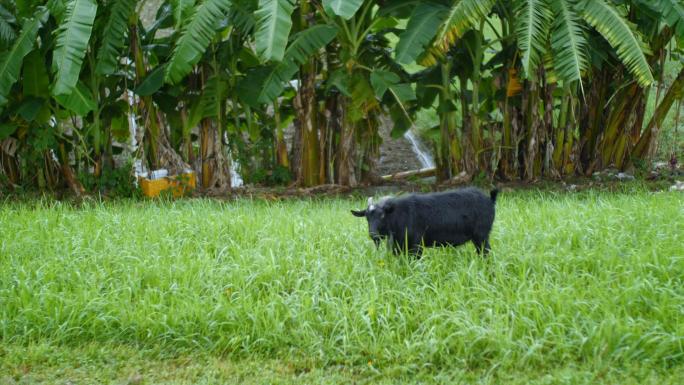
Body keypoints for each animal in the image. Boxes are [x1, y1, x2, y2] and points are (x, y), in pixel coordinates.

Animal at [352, 188, 496, 256]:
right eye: (366, 217)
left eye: (382, 215)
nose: (373, 235)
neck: (399, 214)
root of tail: (490, 200)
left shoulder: (417, 244)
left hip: (481, 235)